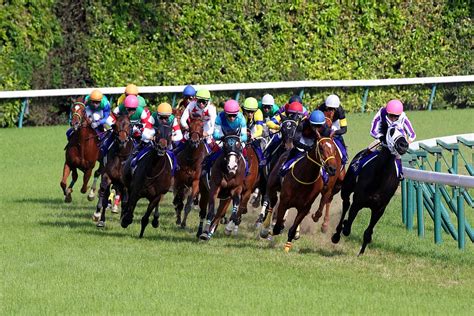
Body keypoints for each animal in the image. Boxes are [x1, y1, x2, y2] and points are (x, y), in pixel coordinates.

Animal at [332, 126, 410, 254]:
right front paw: (344, 226)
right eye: (391, 131)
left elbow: (368, 232)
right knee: (346, 204)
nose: (403, 145)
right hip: (346, 188)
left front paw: (361, 252)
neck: (379, 179)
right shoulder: (357, 202)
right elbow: (347, 227)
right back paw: (336, 234)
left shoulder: (379, 209)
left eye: (405, 131)